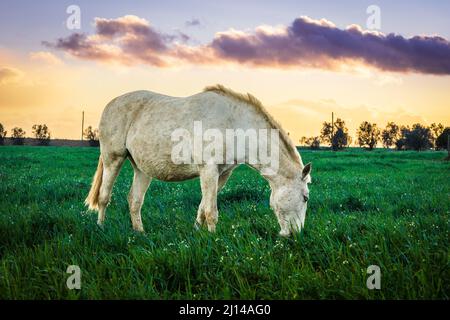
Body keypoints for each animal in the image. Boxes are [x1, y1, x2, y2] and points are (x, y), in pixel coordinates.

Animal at [84, 85, 312, 238]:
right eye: (305, 197)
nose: (295, 235)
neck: (234, 125)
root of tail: (111, 104)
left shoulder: (221, 174)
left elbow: (203, 207)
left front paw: (197, 231)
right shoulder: (208, 170)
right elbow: (211, 211)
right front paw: (213, 238)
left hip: (141, 169)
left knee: (134, 200)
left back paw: (140, 233)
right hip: (113, 159)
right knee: (104, 196)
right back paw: (101, 228)